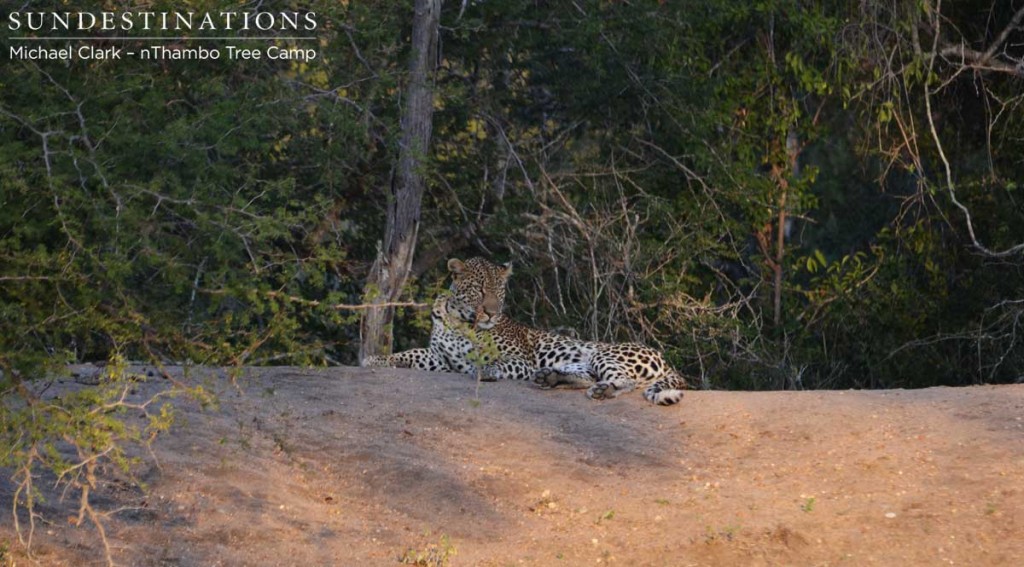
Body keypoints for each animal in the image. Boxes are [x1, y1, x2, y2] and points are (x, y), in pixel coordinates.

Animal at [362, 253, 688, 403]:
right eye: (479, 290)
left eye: (499, 291)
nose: (492, 312)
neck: (461, 321)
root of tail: (664, 358)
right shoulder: (440, 358)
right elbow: (411, 353)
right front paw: (376, 359)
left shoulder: (522, 359)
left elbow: (499, 363)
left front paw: (487, 370)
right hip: (582, 363)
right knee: (583, 377)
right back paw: (551, 378)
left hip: (603, 354)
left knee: (625, 381)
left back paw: (603, 389)